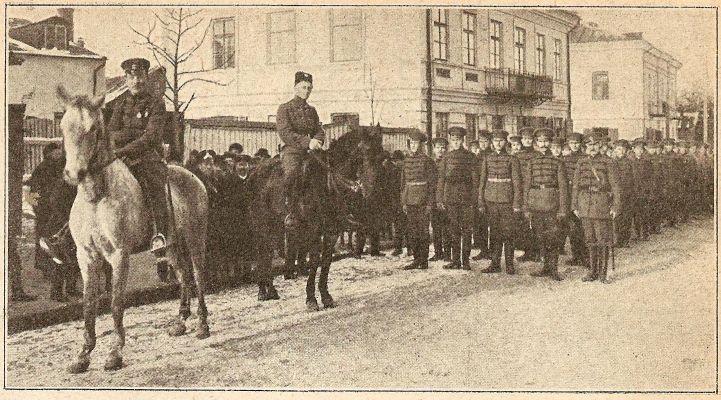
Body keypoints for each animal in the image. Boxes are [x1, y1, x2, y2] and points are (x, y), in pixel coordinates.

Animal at [56, 86, 210, 374]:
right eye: (63, 126)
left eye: (93, 128)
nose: (73, 173)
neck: (97, 197)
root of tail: (194, 177)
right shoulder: (86, 256)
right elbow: (88, 304)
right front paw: (83, 355)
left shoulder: (119, 255)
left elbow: (116, 302)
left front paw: (115, 353)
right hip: (171, 244)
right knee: (184, 276)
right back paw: (180, 322)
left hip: (196, 239)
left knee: (197, 276)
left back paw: (203, 325)